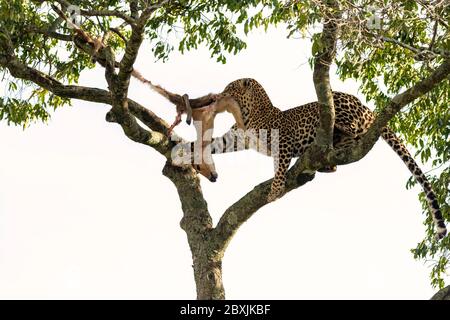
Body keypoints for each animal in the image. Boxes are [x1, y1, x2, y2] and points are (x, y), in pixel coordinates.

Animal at [186, 77, 446, 238]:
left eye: (229, 87)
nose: (217, 95)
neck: (249, 113)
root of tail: (367, 108)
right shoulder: (237, 138)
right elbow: (213, 143)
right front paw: (186, 149)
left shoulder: (283, 142)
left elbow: (280, 168)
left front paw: (275, 190)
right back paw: (325, 161)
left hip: (341, 108)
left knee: (355, 132)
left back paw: (333, 136)